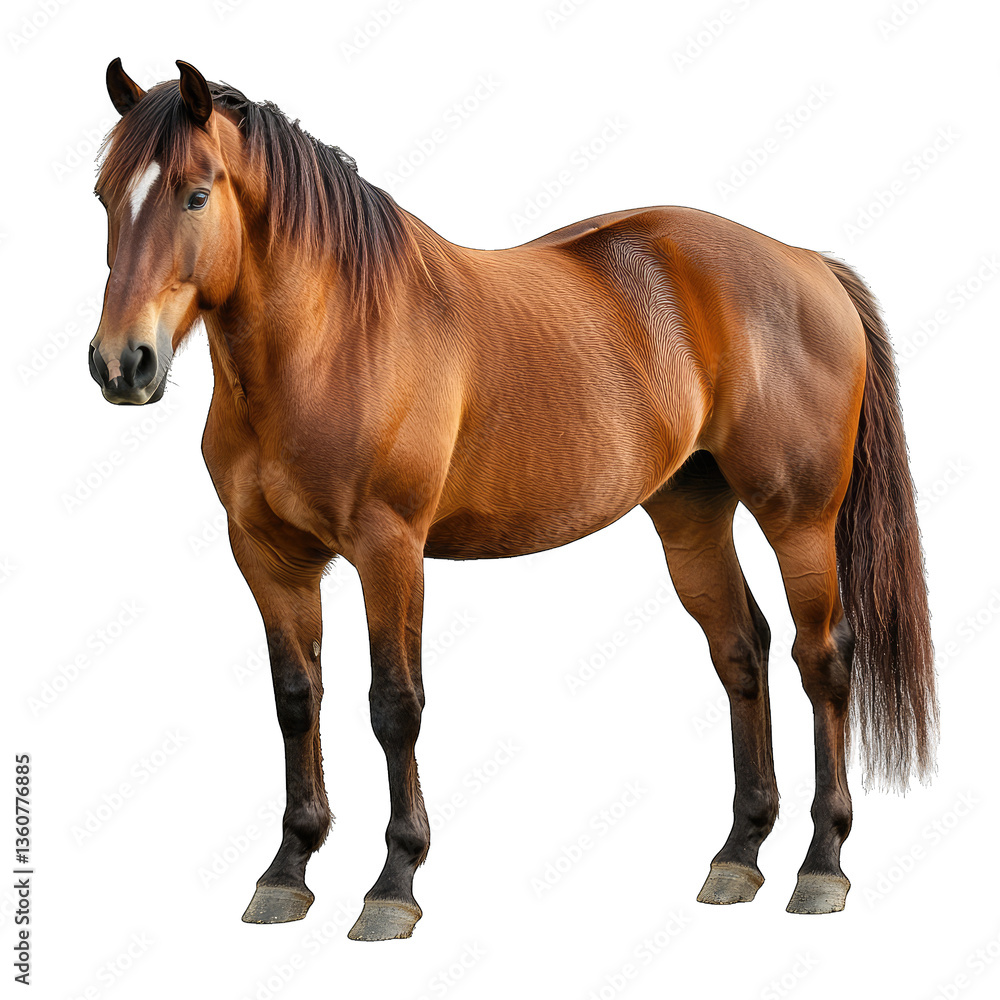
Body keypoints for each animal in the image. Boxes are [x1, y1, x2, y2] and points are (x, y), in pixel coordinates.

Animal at [89, 59, 938, 940]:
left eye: (196, 194)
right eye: (105, 196)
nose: (122, 363)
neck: (330, 341)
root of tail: (805, 261)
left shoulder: (389, 549)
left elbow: (394, 705)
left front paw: (393, 883)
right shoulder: (268, 557)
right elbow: (297, 701)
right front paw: (288, 870)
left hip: (798, 518)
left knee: (822, 660)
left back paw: (821, 865)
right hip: (691, 515)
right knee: (742, 649)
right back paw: (738, 856)